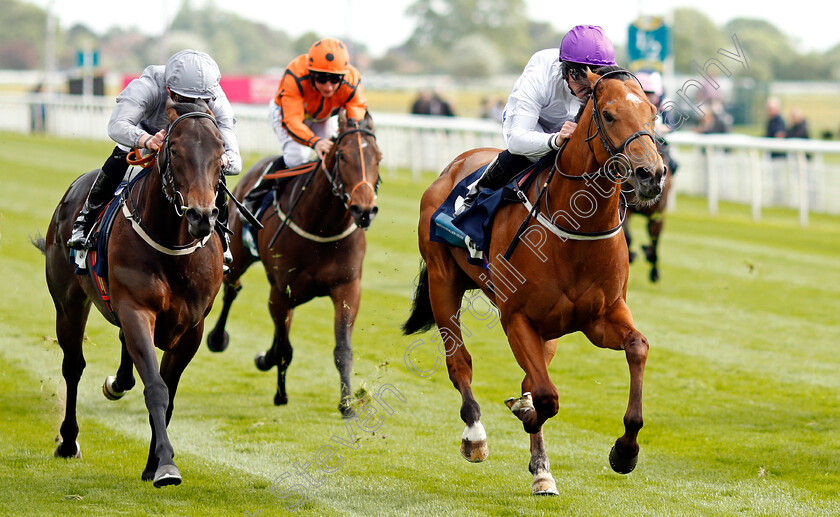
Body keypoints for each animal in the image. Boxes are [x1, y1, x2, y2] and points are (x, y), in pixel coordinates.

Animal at [35, 99, 226, 486]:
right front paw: (165, 465)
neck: (172, 245)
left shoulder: (192, 328)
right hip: (69, 303)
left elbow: (169, 391)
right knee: (73, 366)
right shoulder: (136, 308)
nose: (201, 216)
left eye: (220, 154)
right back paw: (69, 441)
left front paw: (154, 462)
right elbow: (156, 388)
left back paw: (118, 382)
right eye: (175, 150)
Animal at [207, 111, 380, 418]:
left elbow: (342, 349)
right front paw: (279, 391)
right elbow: (284, 349)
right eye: (343, 156)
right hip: (238, 254)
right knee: (232, 288)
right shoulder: (281, 290)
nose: (365, 210)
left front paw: (347, 404)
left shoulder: (348, 288)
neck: (322, 226)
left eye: (379, 157)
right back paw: (218, 339)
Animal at [404, 67, 668, 492]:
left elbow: (637, 347)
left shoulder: (600, 317)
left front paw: (625, 450)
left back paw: (542, 469)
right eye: (609, 115)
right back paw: (475, 435)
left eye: (652, 113)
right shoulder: (517, 318)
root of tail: (454, 165)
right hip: (443, 282)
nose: (652, 175)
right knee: (460, 362)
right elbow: (545, 396)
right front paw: (523, 413)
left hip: (550, 332)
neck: (573, 230)